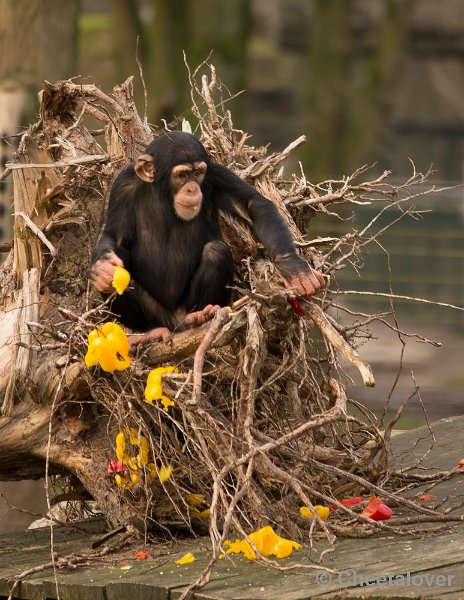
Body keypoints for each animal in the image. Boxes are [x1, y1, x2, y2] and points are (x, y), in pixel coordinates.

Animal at [89, 131, 322, 346]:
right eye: (182, 175)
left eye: (198, 173)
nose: (192, 188)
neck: (164, 195)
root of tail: (178, 323)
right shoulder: (122, 185)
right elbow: (114, 237)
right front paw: (102, 268)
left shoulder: (216, 175)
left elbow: (252, 205)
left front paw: (293, 267)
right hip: (159, 315)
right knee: (117, 276)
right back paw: (149, 332)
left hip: (190, 307)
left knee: (216, 252)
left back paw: (203, 315)